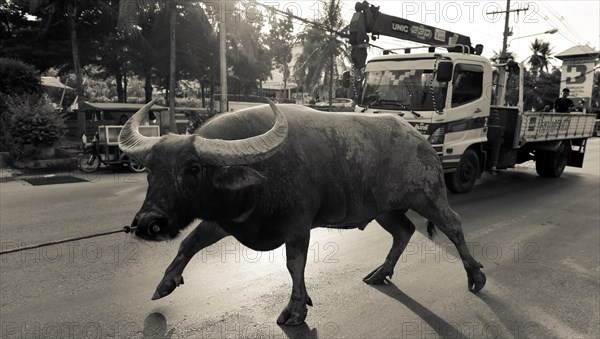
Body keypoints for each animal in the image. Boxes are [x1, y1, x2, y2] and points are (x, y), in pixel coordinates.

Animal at [119, 100, 486, 326]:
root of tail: (421, 141)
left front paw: (295, 310)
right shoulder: (226, 219)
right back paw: (380, 273)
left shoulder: (298, 226)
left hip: (429, 195)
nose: (149, 223)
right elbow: (190, 243)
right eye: (150, 169)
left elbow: (294, 263)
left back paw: (475, 276)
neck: (260, 174)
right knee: (404, 231)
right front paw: (165, 283)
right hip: (384, 209)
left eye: (193, 168)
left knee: (453, 225)